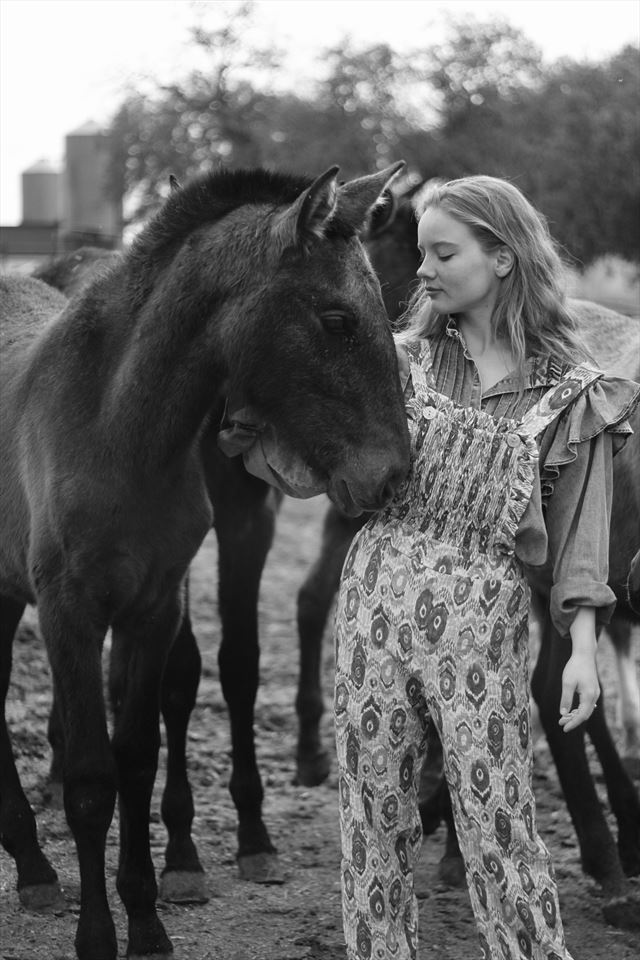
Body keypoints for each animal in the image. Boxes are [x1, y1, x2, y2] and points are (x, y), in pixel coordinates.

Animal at [0, 162, 412, 960]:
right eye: (337, 320)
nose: (390, 478)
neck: (115, 427)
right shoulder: (69, 610)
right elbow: (93, 779)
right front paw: (98, 934)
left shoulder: (155, 602)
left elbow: (138, 751)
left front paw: (149, 917)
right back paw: (33, 866)